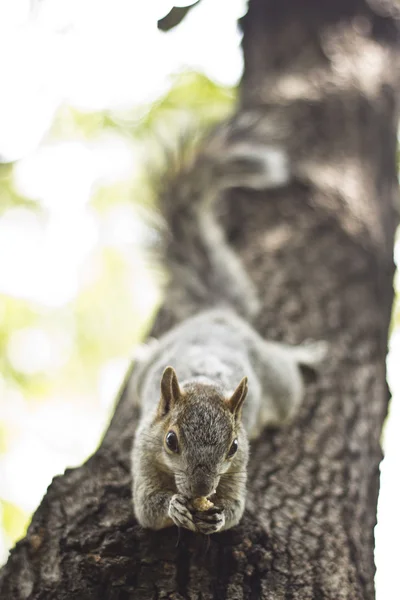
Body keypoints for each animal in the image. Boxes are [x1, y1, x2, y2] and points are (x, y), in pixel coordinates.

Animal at [130, 117, 326, 536]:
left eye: (233, 446)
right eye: (170, 440)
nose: (202, 489)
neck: (204, 381)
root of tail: (220, 315)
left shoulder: (239, 467)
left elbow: (235, 508)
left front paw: (219, 514)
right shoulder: (143, 451)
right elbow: (147, 508)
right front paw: (174, 507)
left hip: (282, 390)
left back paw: (302, 354)